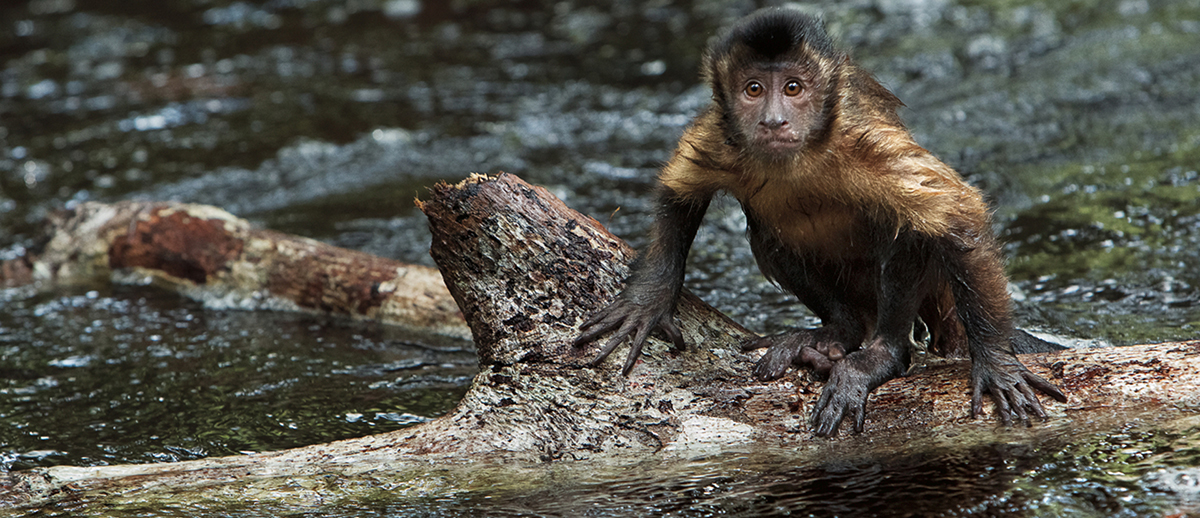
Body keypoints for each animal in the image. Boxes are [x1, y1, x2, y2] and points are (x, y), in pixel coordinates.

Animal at [573, 8, 1070, 436]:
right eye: (754, 89)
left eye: (793, 88)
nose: (774, 120)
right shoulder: (720, 132)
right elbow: (678, 192)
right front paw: (648, 300)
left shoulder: (861, 139)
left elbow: (957, 212)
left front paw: (996, 363)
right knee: (769, 232)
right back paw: (837, 334)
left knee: (905, 225)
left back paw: (884, 355)